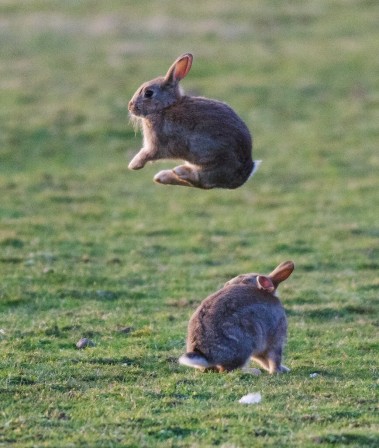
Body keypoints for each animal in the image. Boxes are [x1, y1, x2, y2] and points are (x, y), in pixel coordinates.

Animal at [128, 53, 262, 189]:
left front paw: (133, 165)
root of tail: (244, 174)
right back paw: (162, 176)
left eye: (148, 93)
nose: (130, 106)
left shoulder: (157, 144)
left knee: (201, 181)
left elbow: (147, 154)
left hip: (213, 160)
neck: (165, 107)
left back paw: (177, 172)